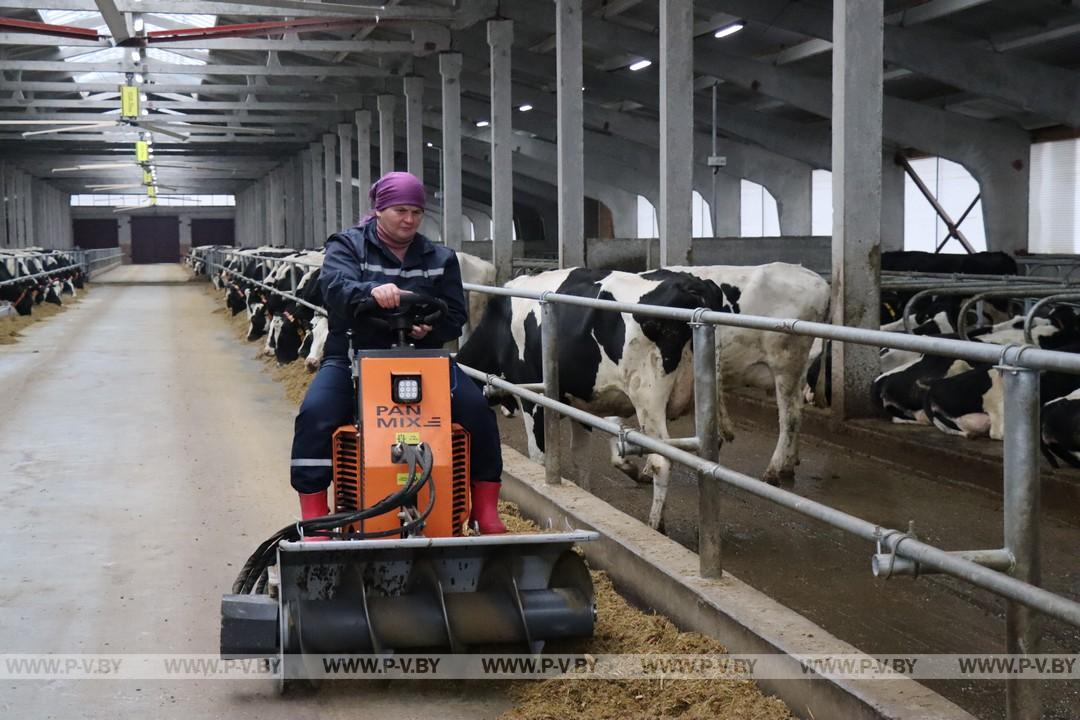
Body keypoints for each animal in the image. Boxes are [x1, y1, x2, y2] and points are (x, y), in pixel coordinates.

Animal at [455, 267, 734, 526]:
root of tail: (692, 284)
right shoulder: (580, 403)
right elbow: (581, 456)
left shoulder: (533, 399)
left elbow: (539, 456)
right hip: (705, 395)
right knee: (709, 452)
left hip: (648, 397)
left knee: (661, 461)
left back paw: (656, 524)